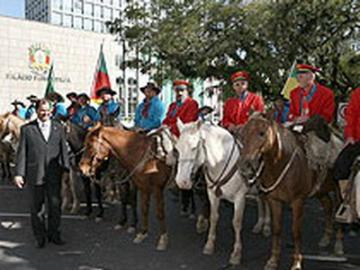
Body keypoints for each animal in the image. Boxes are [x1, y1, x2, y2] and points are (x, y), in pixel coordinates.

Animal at [175, 120, 250, 266]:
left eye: (194, 147)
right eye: (177, 148)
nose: (181, 182)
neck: (221, 161)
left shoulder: (240, 197)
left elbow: (237, 222)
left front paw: (236, 253)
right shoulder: (212, 194)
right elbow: (214, 217)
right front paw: (209, 244)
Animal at [239, 115, 344, 270]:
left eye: (262, 133)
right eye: (243, 133)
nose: (245, 165)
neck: (281, 163)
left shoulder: (298, 202)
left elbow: (296, 232)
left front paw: (296, 263)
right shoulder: (275, 201)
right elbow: (277, 230)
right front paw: (273, 261)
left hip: (339, 192)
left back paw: (338, 246)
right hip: (321, 191)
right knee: (328, 207)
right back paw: (325, 238)